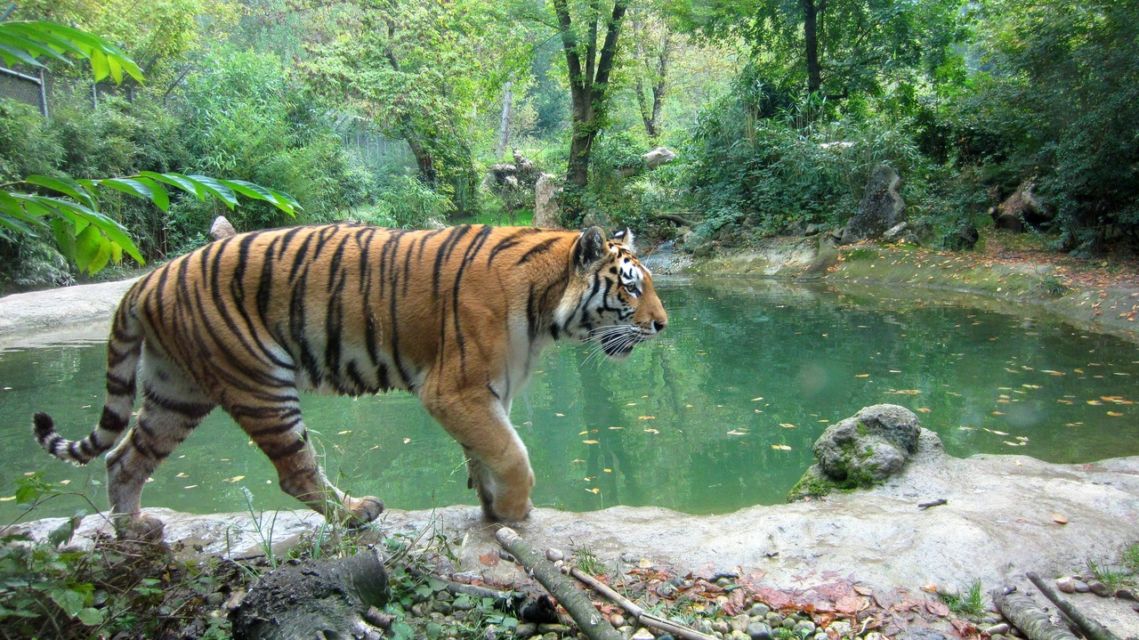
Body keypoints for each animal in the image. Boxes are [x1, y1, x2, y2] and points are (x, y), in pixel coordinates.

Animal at [31, 222, 665, 535]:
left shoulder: (486, 392)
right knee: (295, 472)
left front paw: (488, 504)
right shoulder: (454, 388)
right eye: (631, 286)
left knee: (123, 458)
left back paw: (133, 529)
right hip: (261, 381)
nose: (662, 325)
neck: (545, 308)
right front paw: (513, 512)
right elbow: (511, 452)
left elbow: (487, 449)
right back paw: (355, 513)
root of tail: (147, 279)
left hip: (175, 391)